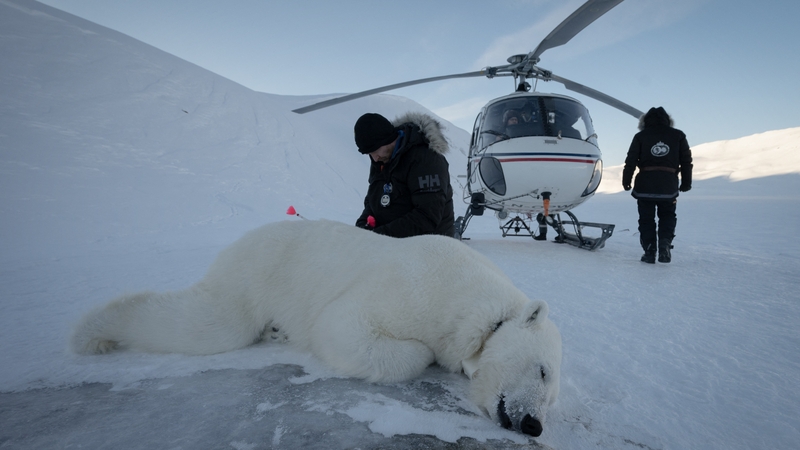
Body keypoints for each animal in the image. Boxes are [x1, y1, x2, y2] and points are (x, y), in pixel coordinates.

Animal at [70, 219, 562, 437]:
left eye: (553, 398)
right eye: (542, 371)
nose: (535, 424)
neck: (475, 303)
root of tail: (245, 239)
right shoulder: (416, 289)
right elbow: (345, 327)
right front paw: (425, 356)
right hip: (257, 274)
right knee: (210, 324)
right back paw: (93, 331)